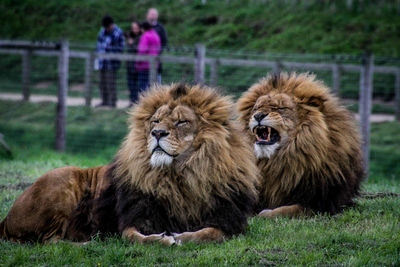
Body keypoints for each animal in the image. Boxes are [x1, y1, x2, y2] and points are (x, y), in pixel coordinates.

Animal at [0, 84, 260, 245]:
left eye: (181, 122)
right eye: (156, 120)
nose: (157, 133)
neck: (179, 177)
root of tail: (5, 219)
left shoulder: (229, 219)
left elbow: (208, 233)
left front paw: (181, 236)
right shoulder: (135, 216)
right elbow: (133, 236)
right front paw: (162, 239)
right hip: (63, 178)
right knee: (50, 241)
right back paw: (86, 244)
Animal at [238, 72, 366, 219]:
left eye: (281, 108)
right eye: (256, 108)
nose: (258, 115)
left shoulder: (322, 204)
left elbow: (288, 210)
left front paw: (264, 213)